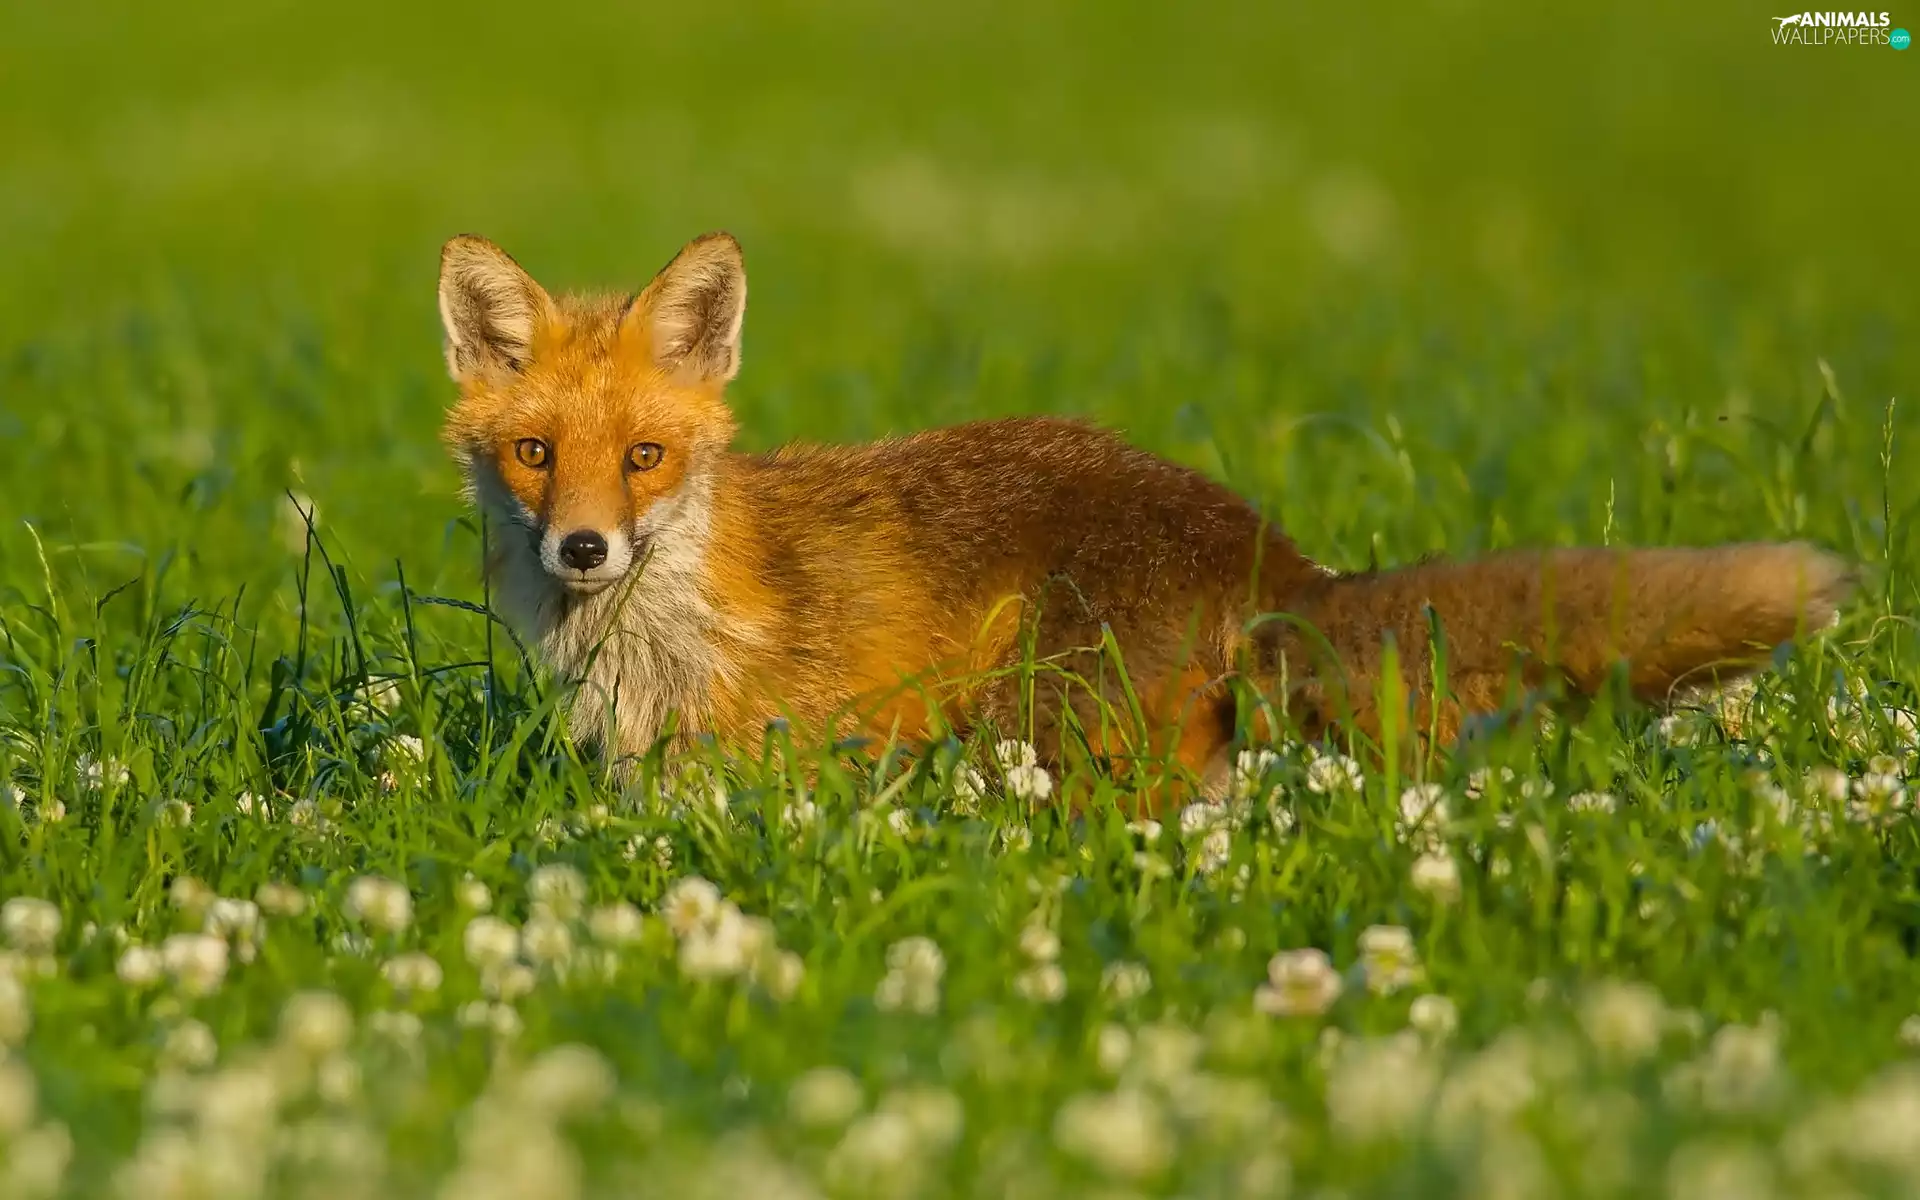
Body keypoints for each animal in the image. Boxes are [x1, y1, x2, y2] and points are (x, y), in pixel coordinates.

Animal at [437, 230, 1854, 810]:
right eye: (535, 454)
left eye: (645, 458)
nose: (582, 548)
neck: (662, 627)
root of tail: (1263, 548)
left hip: (1063, 733)